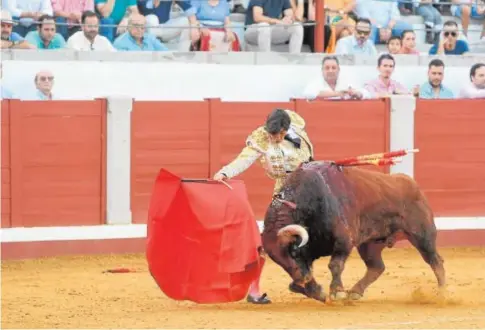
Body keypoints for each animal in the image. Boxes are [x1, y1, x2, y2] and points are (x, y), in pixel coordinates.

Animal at [262, 161, 444, 302]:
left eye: (292, 251)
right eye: (277, 261)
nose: (301, 279)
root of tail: (412, 184)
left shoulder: (344, 241)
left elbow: (335, 265)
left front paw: (337, 292)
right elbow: (295, 283)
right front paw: (318, 292)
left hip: (422, 236)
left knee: (435, 261)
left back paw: (442, 293)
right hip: (369, 244)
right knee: (376, 267)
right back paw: (355, 292)